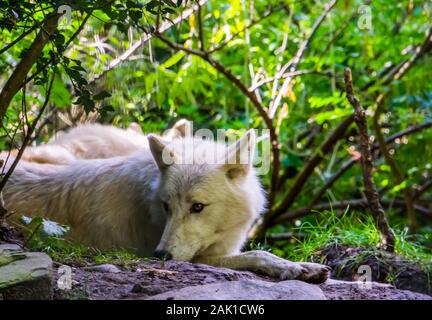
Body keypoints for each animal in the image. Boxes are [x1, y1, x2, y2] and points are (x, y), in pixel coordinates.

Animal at [1, 129, 330, 282]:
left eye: (197, 207)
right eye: (166, 206)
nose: (161, 256)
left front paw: (308, 267)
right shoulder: (199, 258)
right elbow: (259, 254)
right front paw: (295, 268)